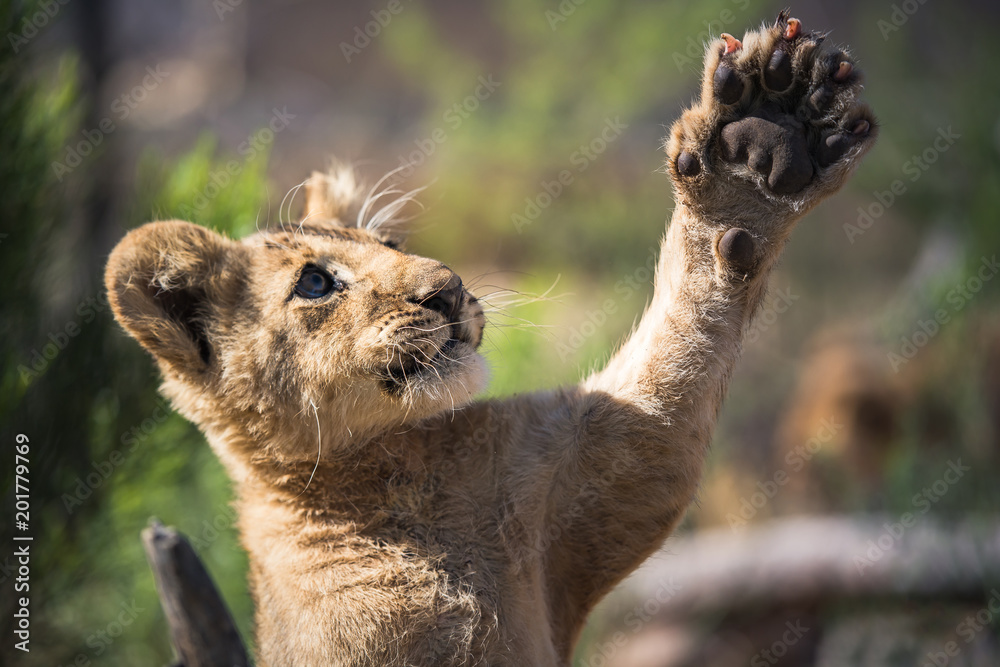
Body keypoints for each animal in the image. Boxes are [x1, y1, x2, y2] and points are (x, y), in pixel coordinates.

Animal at [105, 13, 876, 666]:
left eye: (391, 244)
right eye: (316, 284)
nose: (447, 289)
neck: (398, 478)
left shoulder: (582, 477)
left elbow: (676, 357)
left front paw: (759, 148)